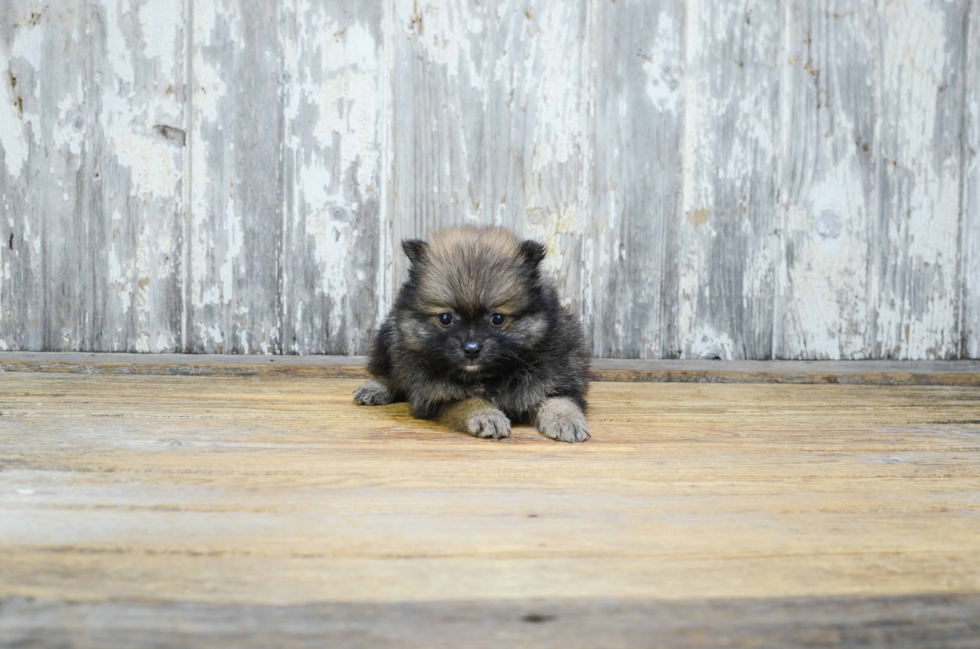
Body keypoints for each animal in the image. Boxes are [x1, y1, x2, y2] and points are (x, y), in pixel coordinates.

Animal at [358, 224, 592, 440]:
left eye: (497, 319)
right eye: (445, 318)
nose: (471, 349)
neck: (489, 375)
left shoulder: (556, 376)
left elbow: (558, 399)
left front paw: (566, 420)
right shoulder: (439, 394)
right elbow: (469, 400)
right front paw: (487, 416)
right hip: (389, 337)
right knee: (391, 374)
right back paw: (376, 389)